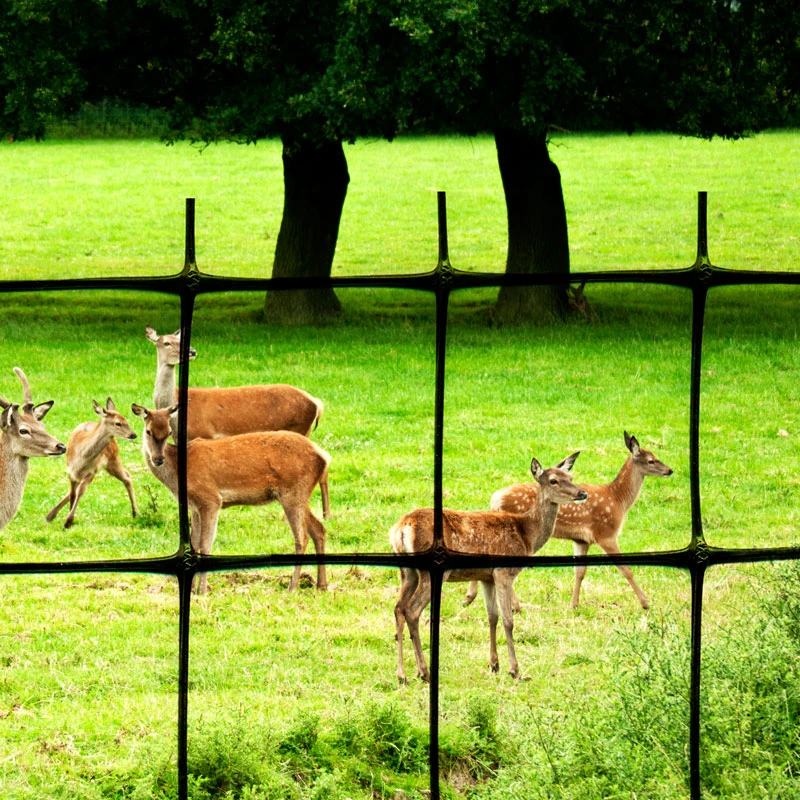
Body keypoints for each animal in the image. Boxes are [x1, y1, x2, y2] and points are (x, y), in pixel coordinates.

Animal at [45, 398, 138, 529]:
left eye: (127, 421)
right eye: (118, 423)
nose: (133, 434)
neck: (81, 459)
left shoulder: (92, 471)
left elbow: (80, 492)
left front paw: (68, 521)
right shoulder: (70, 472)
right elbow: (73, 493)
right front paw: (67, 520)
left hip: (113, 459)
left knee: (127, 477)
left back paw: (135, 513)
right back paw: (50, 515)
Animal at [131, 403, 330, 596]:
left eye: (169, 432)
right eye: (148, 431)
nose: (158, 459)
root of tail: (324, 456)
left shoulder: (210, 499)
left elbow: (205, 545)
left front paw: (202, 591)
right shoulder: (194, 505)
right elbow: (194, 545)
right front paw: (193, 589)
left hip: (293, 492)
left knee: (302, 537)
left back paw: (293, 587)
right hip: (299, 495)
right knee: (318, 529)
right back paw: (321, 585)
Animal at [145, 326, 330, 519]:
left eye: (182, 341)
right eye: (166, 342)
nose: (192, 351)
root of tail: (316, 403)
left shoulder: (203, 434)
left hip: (299, 428)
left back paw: (326, 514)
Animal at [391, 452, 587, 683]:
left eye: (571, 477)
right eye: (553, 480)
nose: (582, 493)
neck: (527, 534)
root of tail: (401, 529)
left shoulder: (486, 576)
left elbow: (492, 616)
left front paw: (494, 665)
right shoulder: (504, 573)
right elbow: (508, 620)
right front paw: (515, 670)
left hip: (407, 572)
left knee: (398, 608)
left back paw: (402, 675)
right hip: (431, 571)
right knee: (412, 610)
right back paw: (424, 672)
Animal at [463, 432, 673, 611]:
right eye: (651, 460)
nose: (670, 470)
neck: (618, 500)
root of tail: (495, 498)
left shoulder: (582, 539)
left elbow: (579, 572)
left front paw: (574, 605)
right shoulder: (605, 532)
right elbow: (626, 568)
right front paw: (646, 603)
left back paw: (475, 598)